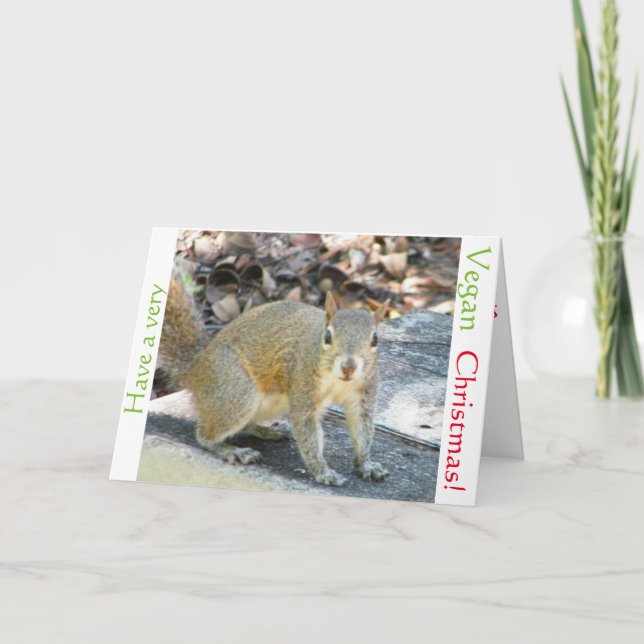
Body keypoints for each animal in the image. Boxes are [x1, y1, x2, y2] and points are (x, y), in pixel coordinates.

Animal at [157, 273, 391, 487]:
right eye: (327, 336)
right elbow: (308, 433)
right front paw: (323, 472)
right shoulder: (303, 383)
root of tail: (195, 373)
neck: (338, 381)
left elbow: (363, 430)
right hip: (237, 393)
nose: (349, 367)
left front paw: (366, 464)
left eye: (375, 340)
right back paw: (230, 450)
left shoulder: (364, 394)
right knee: (204, 434)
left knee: (244, 426)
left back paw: (269, 430)